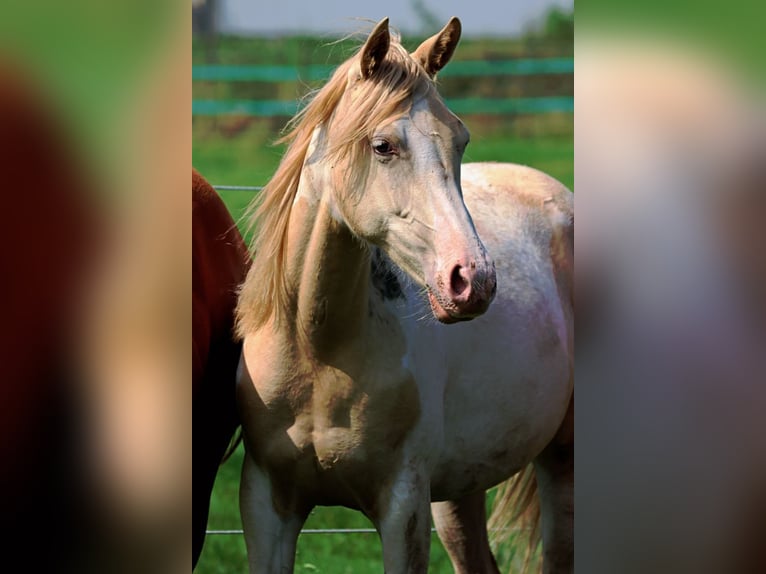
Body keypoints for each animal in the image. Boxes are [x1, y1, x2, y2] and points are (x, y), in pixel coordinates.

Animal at [237, 18, 572, 574]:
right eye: (383, 146)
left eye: (460, 140)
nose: (475, 280)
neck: (318, 351)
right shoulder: (267, 504)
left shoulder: (402, 507)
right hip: (459, 489)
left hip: (561, 461)